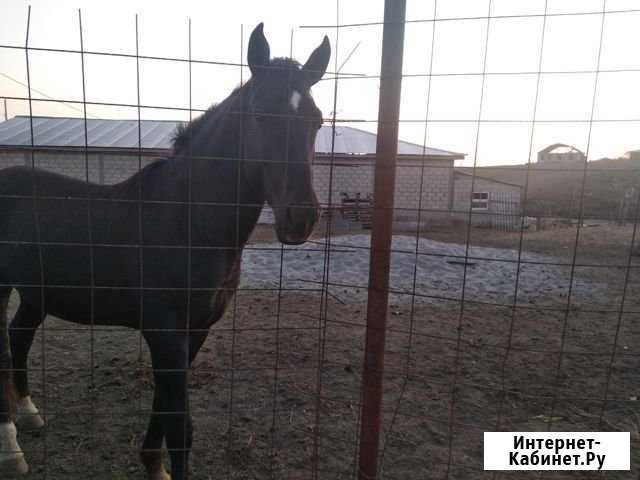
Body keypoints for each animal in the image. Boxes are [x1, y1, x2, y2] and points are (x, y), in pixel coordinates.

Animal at [0, 24, 330, 478]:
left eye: (317, 120)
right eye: (261, 113)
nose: (301, 218)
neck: (187, 222)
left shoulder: (192, 332)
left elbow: (165, 405)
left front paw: (153, 465)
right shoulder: (166, 332)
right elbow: (181, 428)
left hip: (37, 291)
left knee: (19, 336)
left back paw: (29, 415)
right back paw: (10, 449)